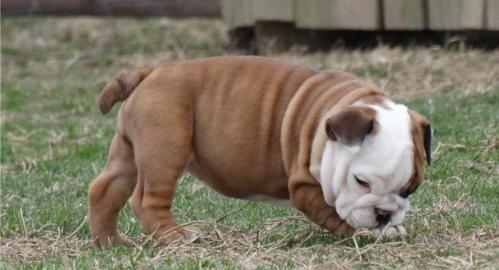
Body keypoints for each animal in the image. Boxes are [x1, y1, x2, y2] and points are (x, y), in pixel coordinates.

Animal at [88, 56, 432, 246]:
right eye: (361, 182)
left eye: (410, 189)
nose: (384, 214)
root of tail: (151, 72)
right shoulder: (304, 187)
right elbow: (336, 214)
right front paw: (371, 233)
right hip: (166, 145)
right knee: (146, 199)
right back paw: (176, 236)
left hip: (130, 151)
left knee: (105, 189)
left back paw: (111, 242)